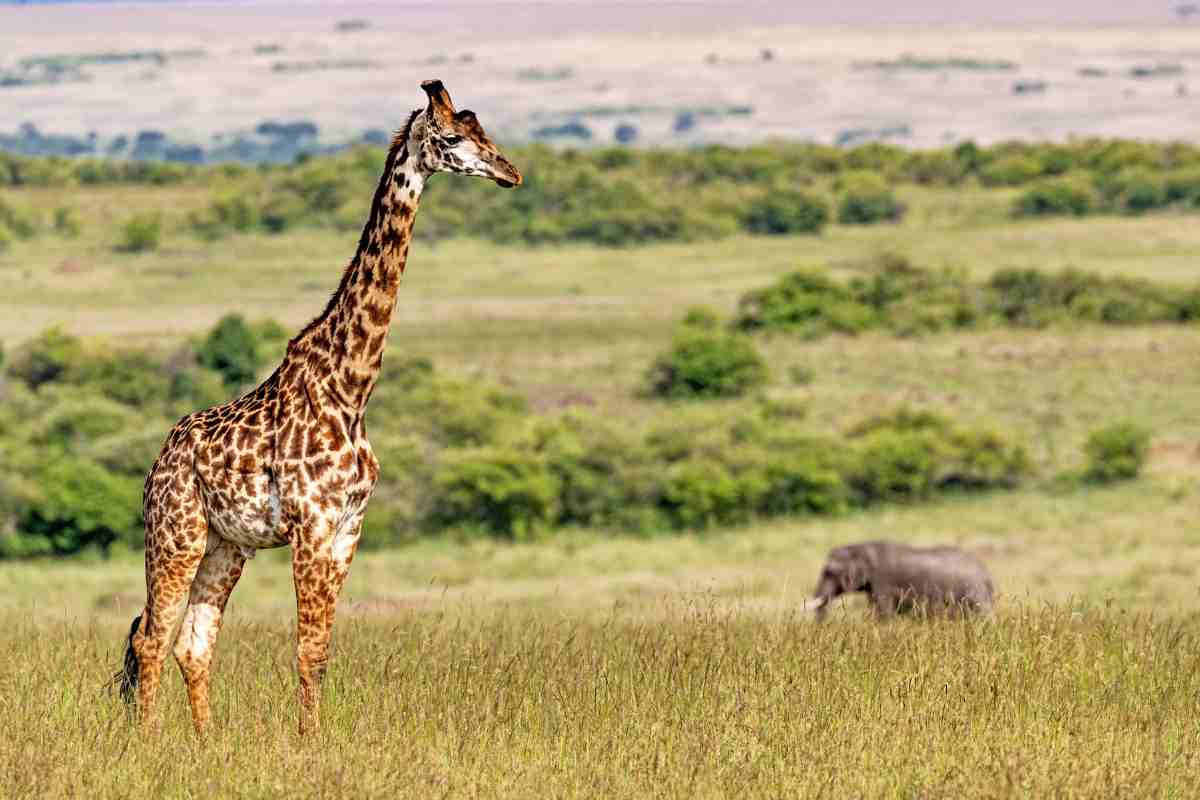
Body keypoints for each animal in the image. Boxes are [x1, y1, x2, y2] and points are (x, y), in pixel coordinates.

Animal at [113, 80, 522, 735]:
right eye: (452, 137)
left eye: (483, 130)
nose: (510, 173)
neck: (350, 388)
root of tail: (156, 466)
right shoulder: (311, 524)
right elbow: (305, 648)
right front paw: (309, 743)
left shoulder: (349, 526)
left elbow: (322, 649)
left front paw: (314, 737)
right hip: (176, 533)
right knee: (151, 636)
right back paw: (149, 742)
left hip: (226, 545)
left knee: (193, 643)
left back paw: (205, 744)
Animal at [810, 540, 994, 620]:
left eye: (828, 572)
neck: (861, 547)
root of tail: (986, 575)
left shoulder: (883, 581)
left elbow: (884, 612)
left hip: (975, 593)